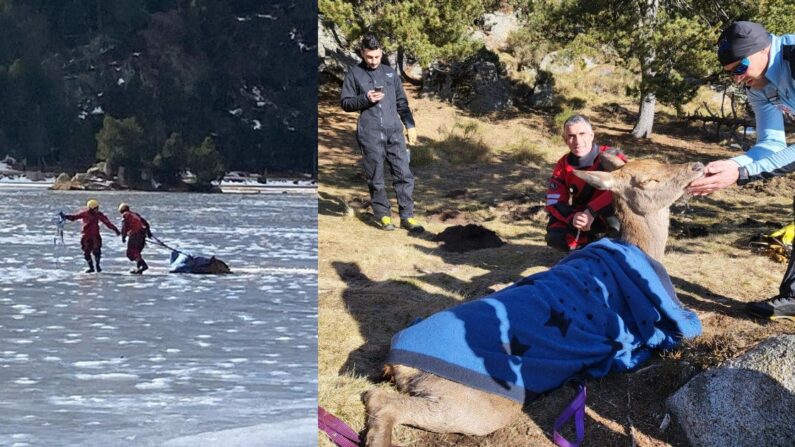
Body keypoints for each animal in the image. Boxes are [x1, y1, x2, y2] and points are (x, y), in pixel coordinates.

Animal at [364, 155, 704, 447]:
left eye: (660, 160)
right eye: (648, 180)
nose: (698, 166)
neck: (642, 251)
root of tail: (396, 362)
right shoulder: (649, 326)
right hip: (481, 400)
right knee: (384, 402)